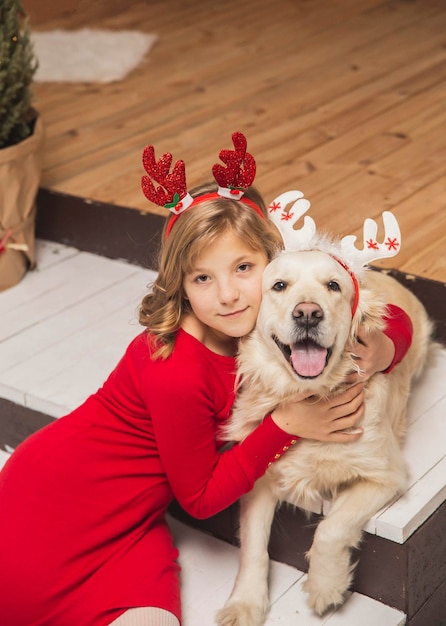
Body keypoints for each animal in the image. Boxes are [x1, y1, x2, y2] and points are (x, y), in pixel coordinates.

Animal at [216, 197, 432, 620]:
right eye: (279, 286)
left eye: (333, 285)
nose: (307, 313)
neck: (308, 395)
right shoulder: (259, 477)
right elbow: (253, 546)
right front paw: (244, 602)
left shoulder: (386, 475)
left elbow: (331, 528)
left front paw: (325, 586)